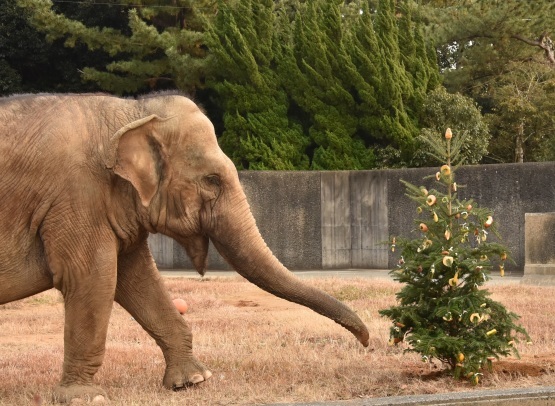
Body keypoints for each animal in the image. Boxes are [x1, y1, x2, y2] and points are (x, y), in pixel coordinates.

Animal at [0, 93, 370, 402]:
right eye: (212, 180)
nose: (367, 342)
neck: (133, 111)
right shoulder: (76, 199)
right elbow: (93, 279)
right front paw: (85, 398)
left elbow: (136, 279)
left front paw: (193, 381)